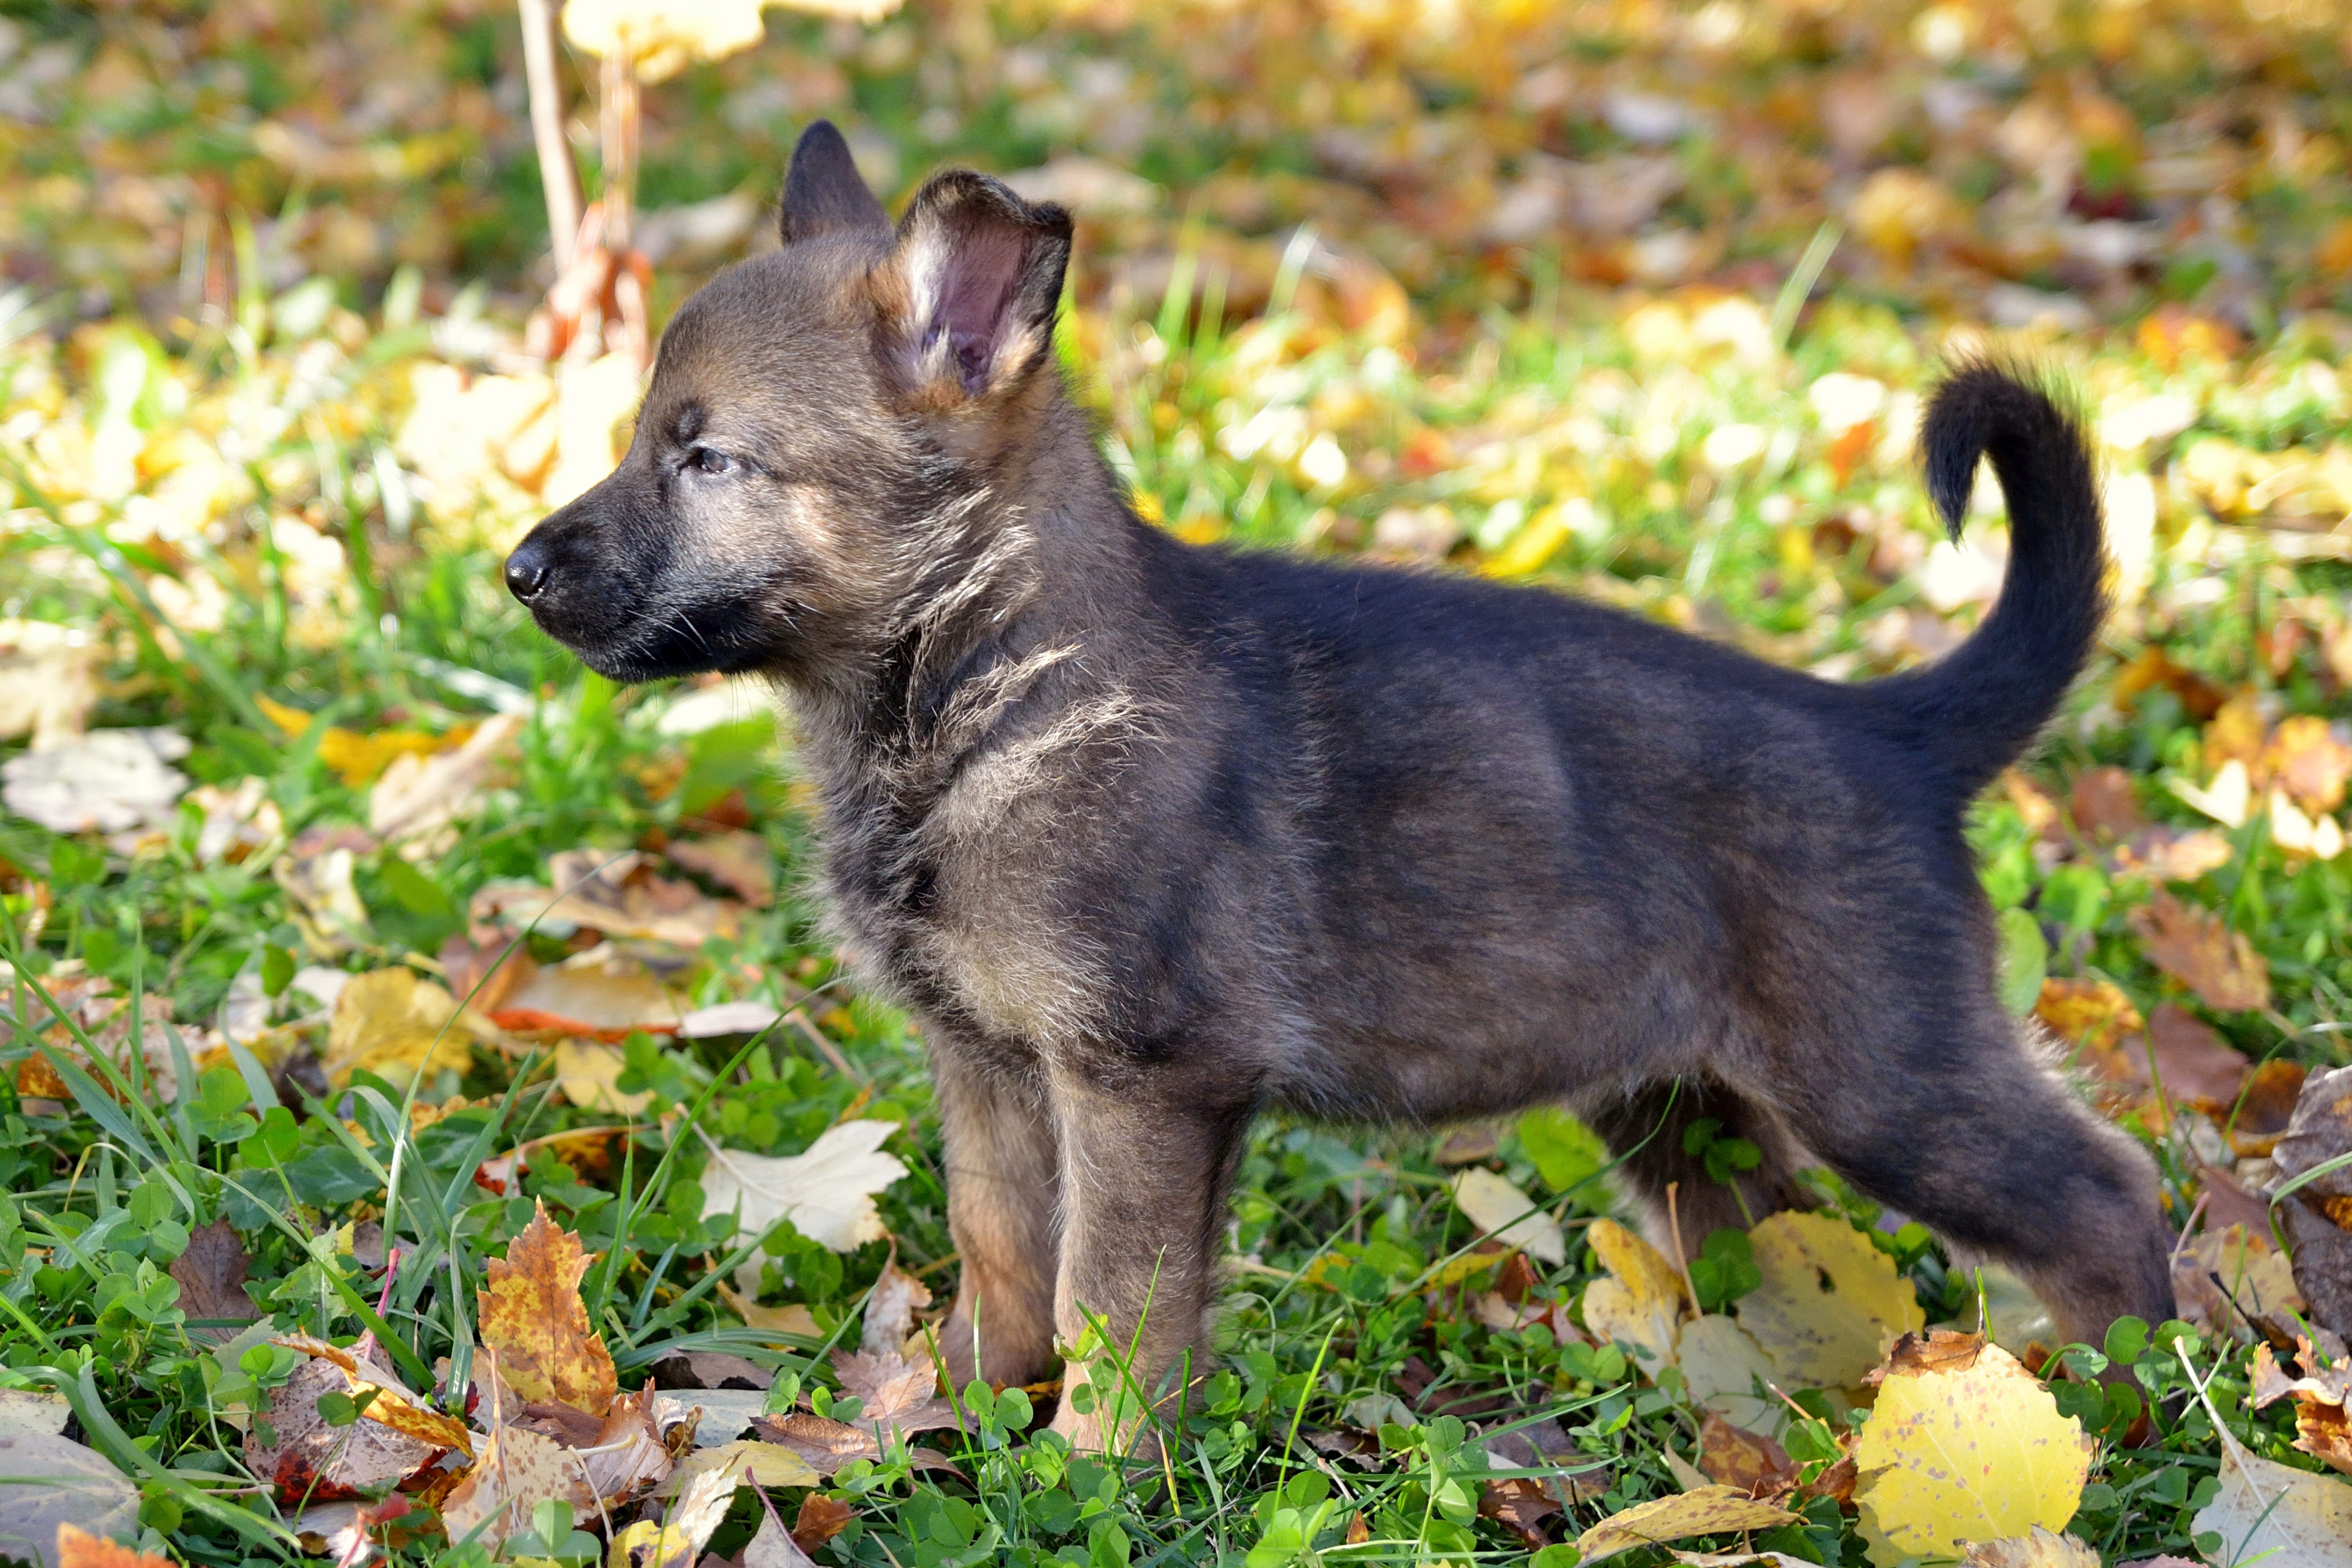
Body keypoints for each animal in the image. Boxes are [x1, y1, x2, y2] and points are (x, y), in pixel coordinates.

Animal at [505, 120, 2173, 1448]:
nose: (517, 571)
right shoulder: (985, 1060)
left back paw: (2129, 1391)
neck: (989, 679)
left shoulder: (1143, 1074)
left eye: (705, 458)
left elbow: (1113, 1295)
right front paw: (951, 1415)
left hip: (1885, 1068)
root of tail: (1893, 727)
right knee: (1778, 1235)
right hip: (1680, 1106)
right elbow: (1000, 1248)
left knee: (2105, 1190)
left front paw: (1092, 1471)